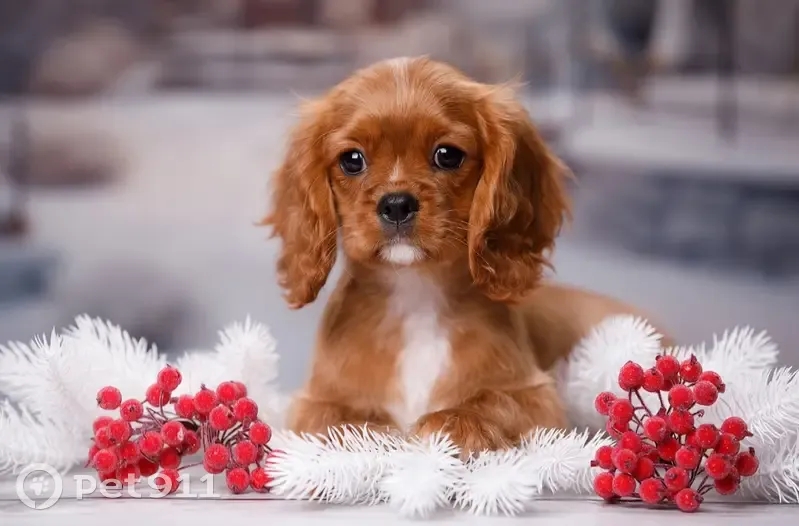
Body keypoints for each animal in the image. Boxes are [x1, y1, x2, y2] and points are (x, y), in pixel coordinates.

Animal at [263, 56, 668, 454]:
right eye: (351, 160)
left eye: (447, 155)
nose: (396, 204)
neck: (415, 296)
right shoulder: (309, 403)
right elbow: (331, 419)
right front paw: (371, 431)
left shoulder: (539, 399)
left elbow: (495, 400)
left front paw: (456, 421)